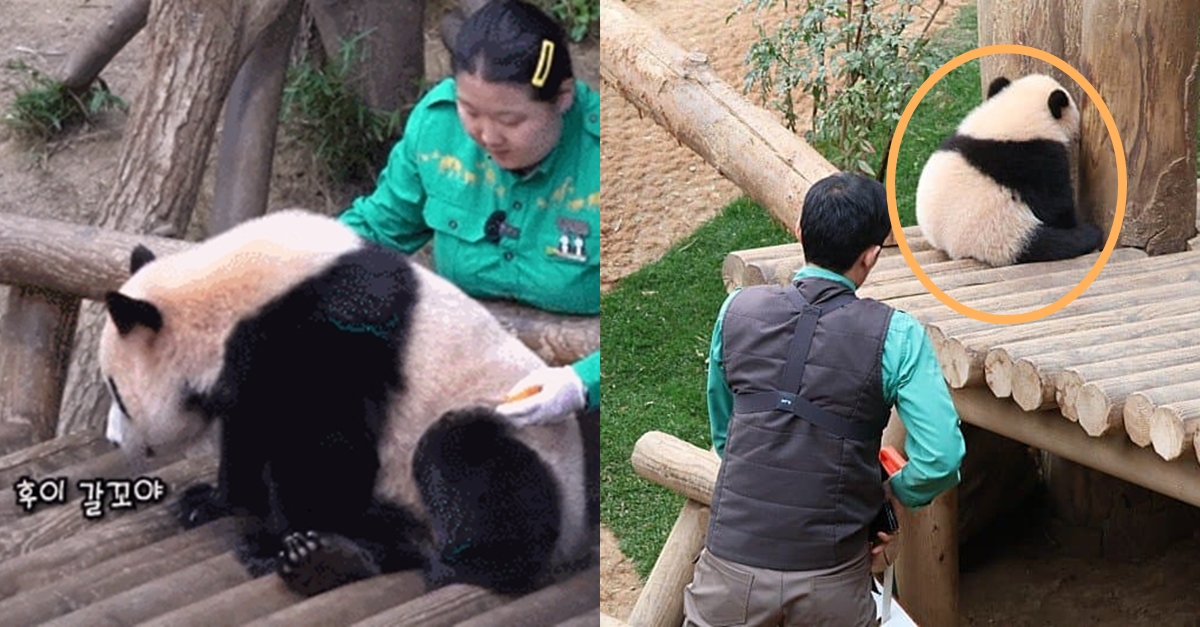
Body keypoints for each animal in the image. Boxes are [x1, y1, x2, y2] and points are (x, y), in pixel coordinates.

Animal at [98, 207, 595, 593]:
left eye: (116, 392)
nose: (114, 440)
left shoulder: (328, 333)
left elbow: (323, 446)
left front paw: (279, 543)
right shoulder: (251, 370)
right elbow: (248, 434)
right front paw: (208, 502)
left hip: (521, 433)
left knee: (467, 455)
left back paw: (451, 567)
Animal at [916, 73, 1104, 265]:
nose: (1078, 133)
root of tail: (956, 248)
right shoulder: (1035, 158)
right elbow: (1055, 203)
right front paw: (1071, 221)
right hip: (1005, 233)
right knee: (1055, 244)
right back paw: (1088, 234)